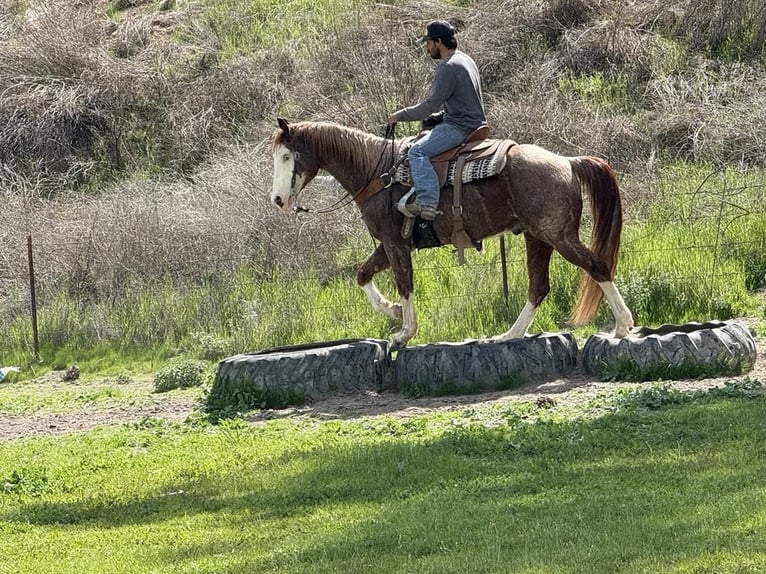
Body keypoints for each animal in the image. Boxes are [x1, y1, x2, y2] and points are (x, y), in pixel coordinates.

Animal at [271, 118, 634, 349]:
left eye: (287, 155)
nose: (277, 199)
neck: (377, 172)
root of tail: (568, 162)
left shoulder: (395, 243)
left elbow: (405, 284)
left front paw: (404, 333)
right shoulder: (389, 245)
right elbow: (362, 275)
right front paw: (393, 312)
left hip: (558, 236)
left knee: (597, 266)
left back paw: (622, 325)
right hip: (537, 237)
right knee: (538, 287)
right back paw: (509, 335)